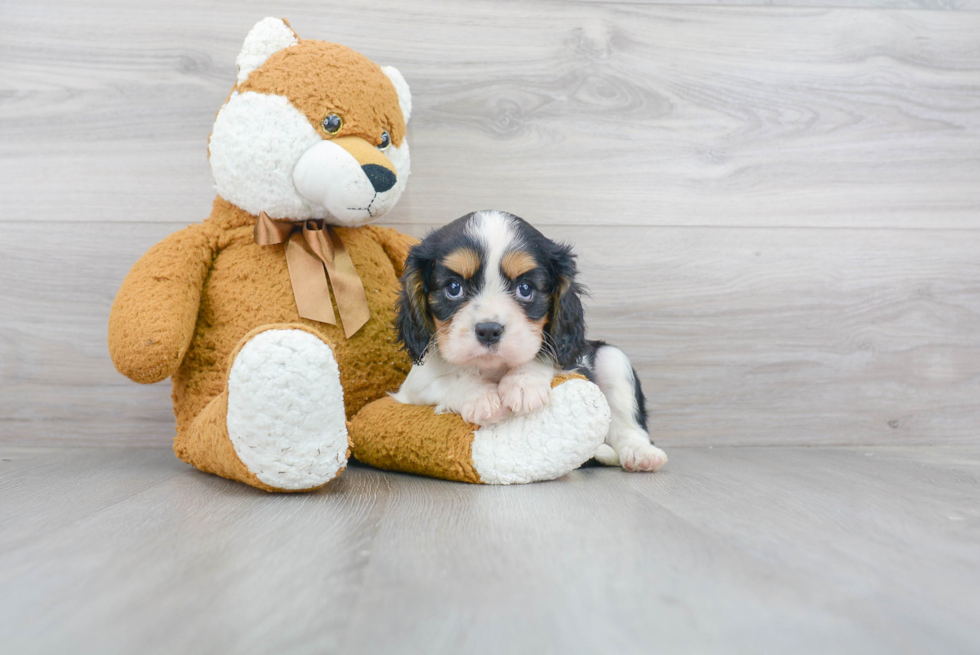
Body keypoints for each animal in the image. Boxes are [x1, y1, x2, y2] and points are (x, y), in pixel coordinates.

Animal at [390, 210, 668, 472]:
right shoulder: (414, 386)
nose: (488, 331)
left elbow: (542, 354)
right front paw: (481, 396)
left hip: (613, 359)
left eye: (525, 289)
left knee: (630, 427)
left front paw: (523, 384)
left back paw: (642, 453)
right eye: (453, 288)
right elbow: (451, 377)